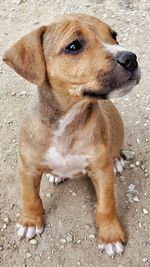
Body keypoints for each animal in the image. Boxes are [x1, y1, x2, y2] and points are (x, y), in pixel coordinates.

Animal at [2, 13, 140, 258]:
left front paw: (110, 236)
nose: (131, 58)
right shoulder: (26, 167)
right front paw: (30, 222)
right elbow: (30, 197)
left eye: (114, 36)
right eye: (74, 46)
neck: (67, 123)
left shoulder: (101, 172)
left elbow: (106, 205)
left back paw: (116, 161)